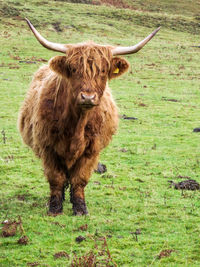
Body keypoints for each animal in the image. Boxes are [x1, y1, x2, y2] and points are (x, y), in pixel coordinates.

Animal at [18, 18, 160, 216]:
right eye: (73, 69)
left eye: (103, 71)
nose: (87, 97)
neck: (76, 123)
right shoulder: (48, 147)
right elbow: (56, 178)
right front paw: (55, 208)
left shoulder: (92, 149)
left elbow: (80, 179)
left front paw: (80, 209)